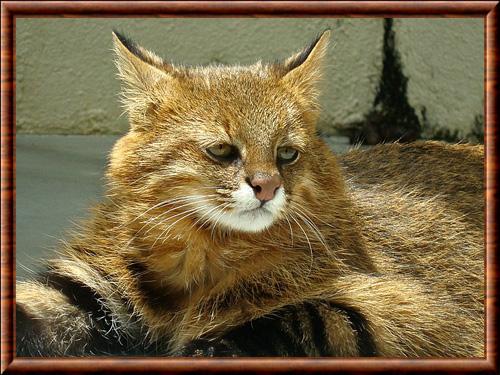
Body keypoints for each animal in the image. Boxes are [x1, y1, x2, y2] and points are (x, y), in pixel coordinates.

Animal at [16, 29, 484, 358]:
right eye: (222, 150)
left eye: (286, 153)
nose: (268, 186)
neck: (204, 254)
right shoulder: (88, 285)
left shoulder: (417, 312)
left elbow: (302, 316)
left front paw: (204, 347)